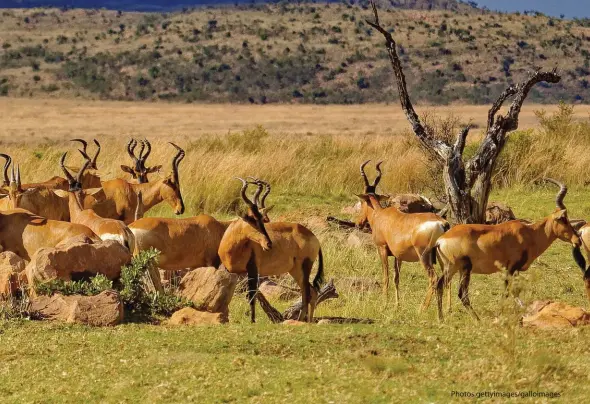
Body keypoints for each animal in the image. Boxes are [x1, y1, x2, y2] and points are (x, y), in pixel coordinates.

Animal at [219, 178, 326, 324]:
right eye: (252, 219)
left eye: (262, 219)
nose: (268, 244)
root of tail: (313, 236)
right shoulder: (235, 272)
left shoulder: (253, 270)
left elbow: (252, 295)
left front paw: (252, 321)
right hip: (295, 270)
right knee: (310, 292)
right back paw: (305, 320)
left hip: (305, 266)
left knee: (308, 293)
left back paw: (302, 320)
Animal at [354, 160, 450, 310]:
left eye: (363, 201)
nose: (358, 223)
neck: (381, 215)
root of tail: (442, 223)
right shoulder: (398, 256)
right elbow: (396, 278)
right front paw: (397, 305)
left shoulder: (382, 249)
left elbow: (386, 276)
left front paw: (384, 303)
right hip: (442, 256)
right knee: (448, 279)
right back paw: (448, 308)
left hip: (424, 256)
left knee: (433, 278)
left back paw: (422, 308)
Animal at [426, 178, 588, 320]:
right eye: (563, 219)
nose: (577, 240)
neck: (529, 232)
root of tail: (440, 240)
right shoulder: (511, 268)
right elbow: (508, 292)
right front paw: (501, 313)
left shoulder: (513, 270)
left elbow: (514, 291)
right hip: (462, 268)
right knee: (461, 293)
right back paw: (476, 319)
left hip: (452, 269)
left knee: (439, 285)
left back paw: (441, 318)